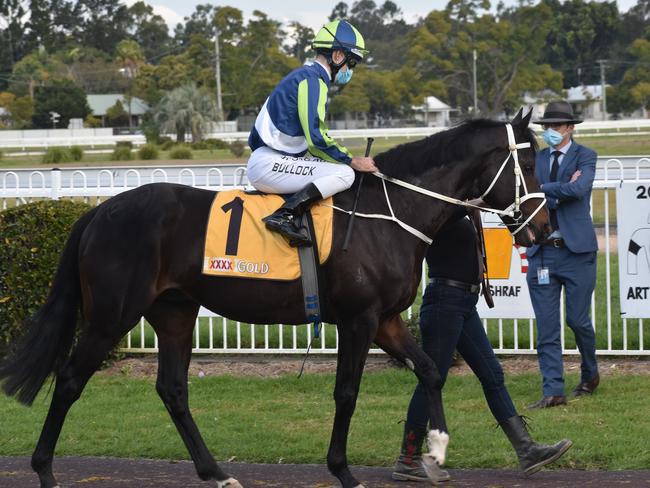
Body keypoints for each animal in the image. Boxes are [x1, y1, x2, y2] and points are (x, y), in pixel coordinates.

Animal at [0, 110, 548, 488]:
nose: (542, 227)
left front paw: (435, 452)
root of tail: (99, 212)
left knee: (173, 389)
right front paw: (343, 470)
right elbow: (347, 392)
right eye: (529, 161)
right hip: (111, 315)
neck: (388, 212)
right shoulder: (359, 319)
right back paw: (44, 470)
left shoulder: (387, 319)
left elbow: (431, 370)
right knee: (70, 379)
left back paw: (216, 472)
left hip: (174, 311)